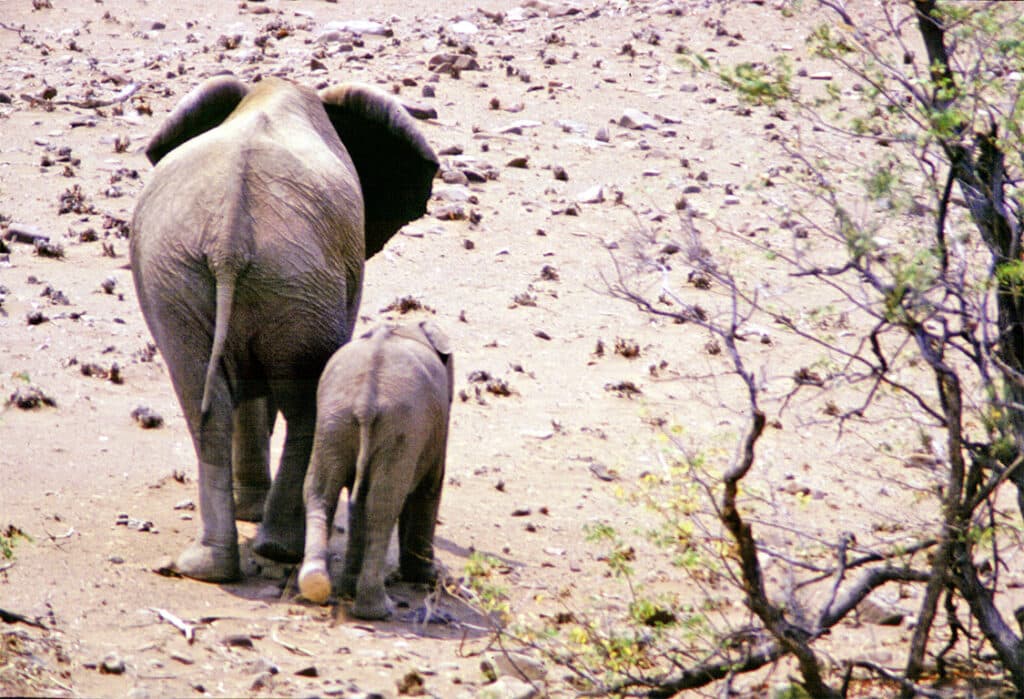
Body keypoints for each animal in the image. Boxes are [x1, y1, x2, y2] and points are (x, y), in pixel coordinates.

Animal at [130, 75, 439, 583]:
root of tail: (228, 241)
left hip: (188, 281)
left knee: (204, 400)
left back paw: (211, 565)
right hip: (286, 283)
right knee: (303, 405)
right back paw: (279, 549)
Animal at [297, 321, 454, 620]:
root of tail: (365, 403)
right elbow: (429, 489)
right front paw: (430, 577)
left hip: (333, 421)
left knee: (321, 492)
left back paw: (319, 583)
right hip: (399, 427)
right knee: (383, 506)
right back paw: (377, 610)